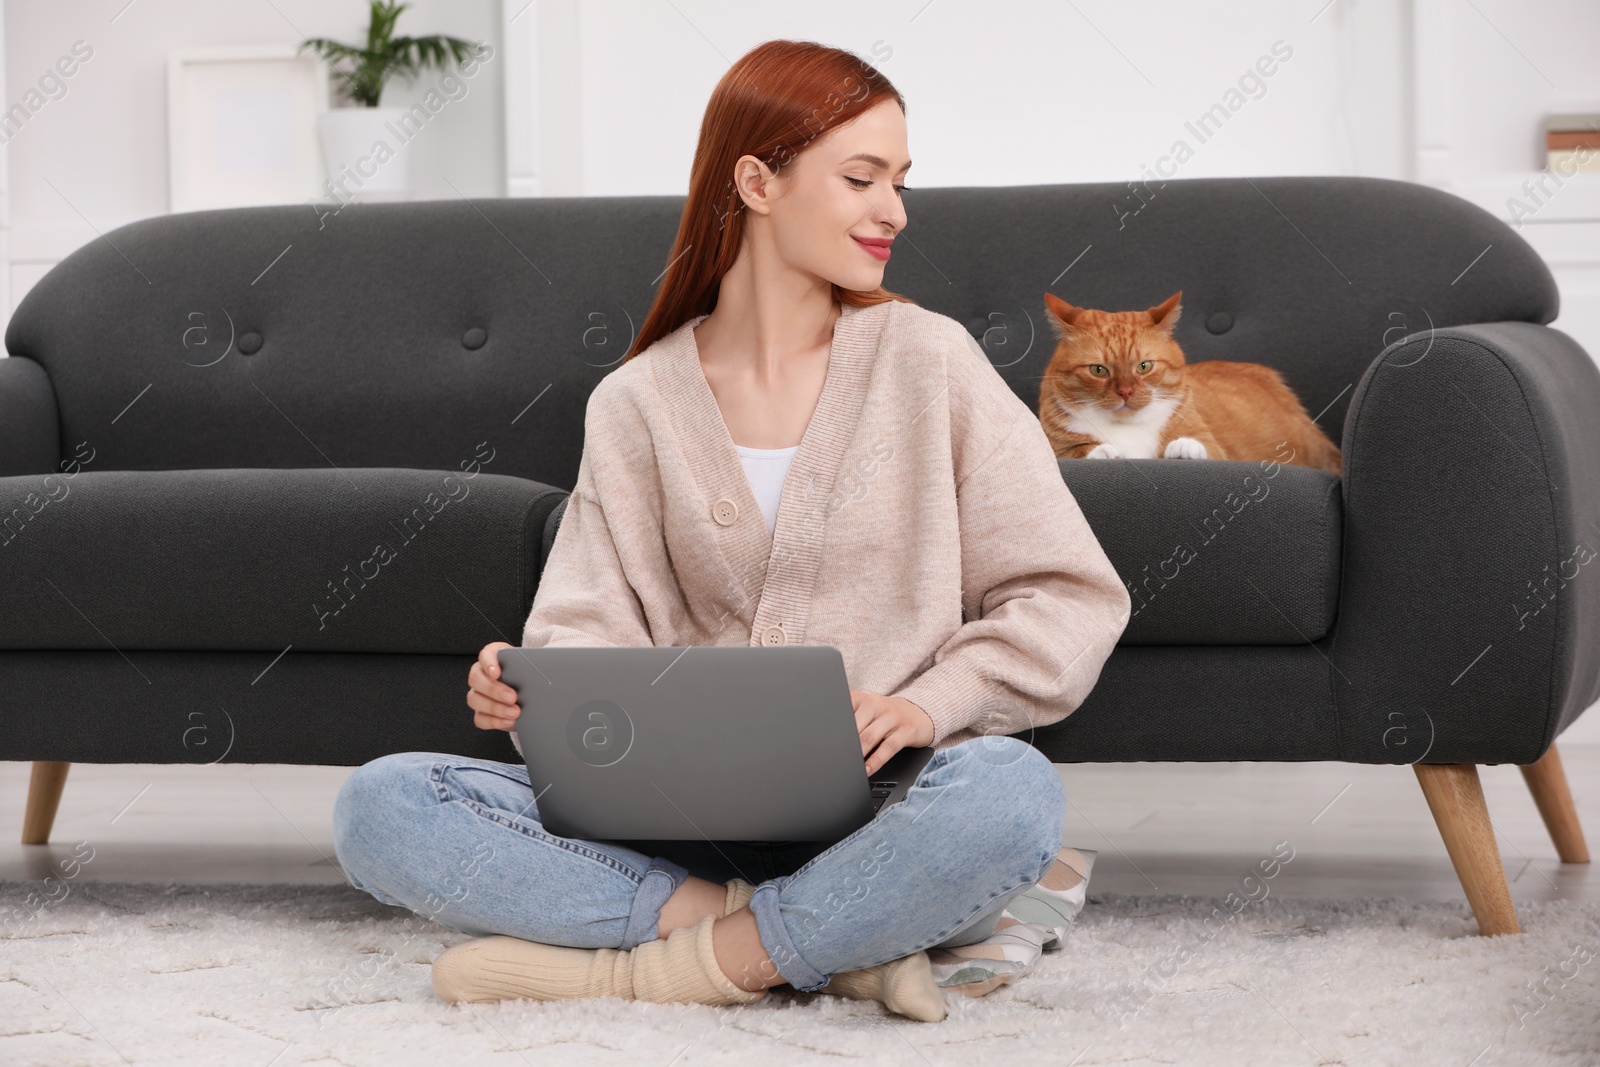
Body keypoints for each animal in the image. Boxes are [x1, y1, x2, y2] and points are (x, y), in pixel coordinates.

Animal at [1036, 294, 1337, 473]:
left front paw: (1183, 448)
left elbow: (1201, 445)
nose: (1125, 392)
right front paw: (1102, 450)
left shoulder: (1215, 448)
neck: (1127, 429)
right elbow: (1071, 451)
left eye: (1144, 366)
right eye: (1099, 370)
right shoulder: (1054, 445)